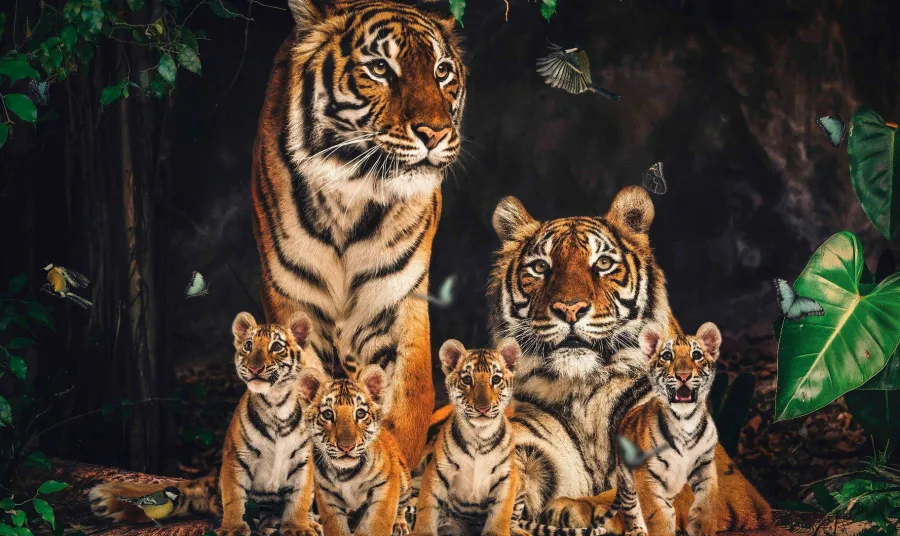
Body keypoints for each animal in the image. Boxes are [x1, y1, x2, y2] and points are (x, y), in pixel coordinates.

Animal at [89, 313, 325, 535]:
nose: (254, 368)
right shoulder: (237, 458)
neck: (277, 405)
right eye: (249, 346)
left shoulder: (303, 461)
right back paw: (269, 523)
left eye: (276, 347)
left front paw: (298, 527)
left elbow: (299, 499)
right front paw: (233, 528)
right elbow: (234, 499)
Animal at [252, 0, 466, 473]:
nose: (436, 133)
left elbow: (404, 403)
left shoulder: (395, 300)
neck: (351, 193)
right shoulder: (294, 302)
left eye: (442, 71)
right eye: (380, 68)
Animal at [298, 365, 413, 536]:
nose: (347, 446)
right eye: (328, 414)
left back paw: (399, 525)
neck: (345, 473)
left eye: (360, 413)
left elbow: (376, 522)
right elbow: (335, 524)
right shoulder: (326, 493)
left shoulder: (386, 483)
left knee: (402, 506)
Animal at [412, 338, 525, 536]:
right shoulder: (437, 471)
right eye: (467, 380)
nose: (483, 408)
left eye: (496, 379)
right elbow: (427, 508)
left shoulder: (506, 476)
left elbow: (501, 514)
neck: (479, 435)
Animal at [601, 320, 723, 536]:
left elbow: (707, 501)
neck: (685, 420)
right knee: (631, 508)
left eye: (697, 355)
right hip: (627, 481)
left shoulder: (705, 464)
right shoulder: (648, 476)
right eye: (667, 356)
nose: (683, 375)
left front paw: (702, 526)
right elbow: (658, 516)